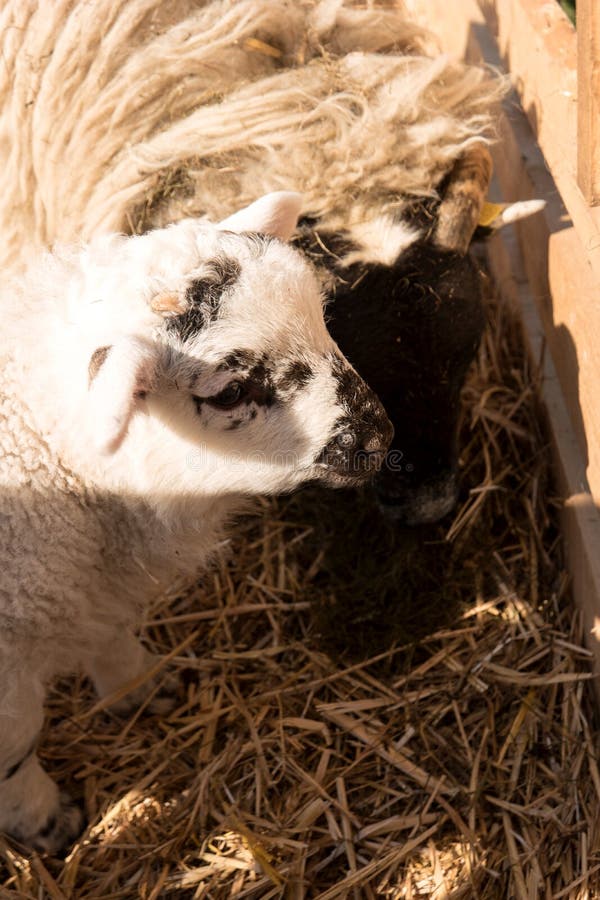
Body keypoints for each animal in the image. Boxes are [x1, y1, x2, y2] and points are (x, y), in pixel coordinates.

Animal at [0, 191, 393, 853]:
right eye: (230, 393)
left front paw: (141, 688)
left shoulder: (90, 593)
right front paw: (47, 822)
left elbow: (109, 636)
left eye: (319, 315)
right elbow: (15, 750)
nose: (378, 438)